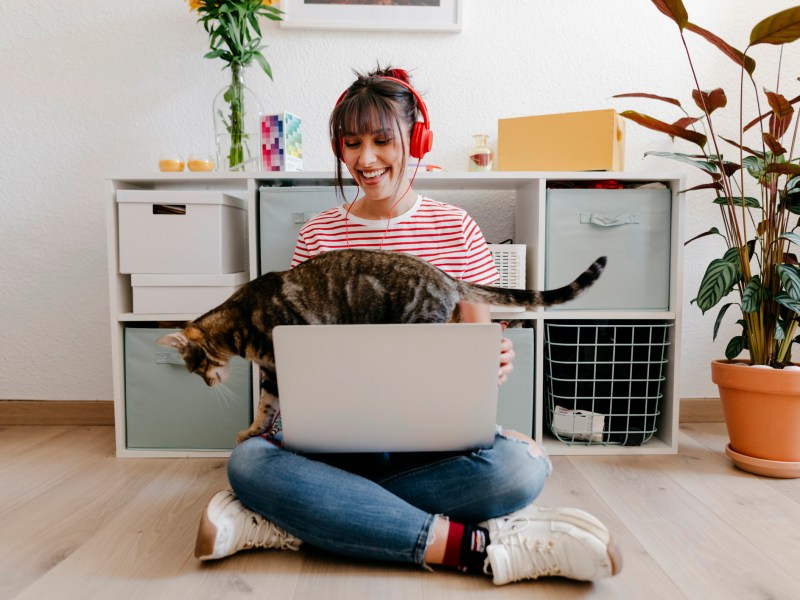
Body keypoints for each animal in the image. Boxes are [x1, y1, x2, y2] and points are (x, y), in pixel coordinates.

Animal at [158, 247, 608, 440]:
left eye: (196, 367)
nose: (207, 383)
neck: (240, 323)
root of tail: (446, 278)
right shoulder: (272, 371)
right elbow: (266, 407)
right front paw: (252, 431)